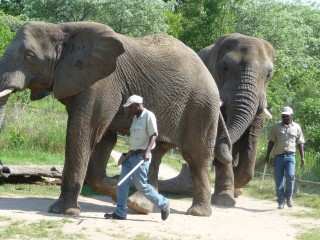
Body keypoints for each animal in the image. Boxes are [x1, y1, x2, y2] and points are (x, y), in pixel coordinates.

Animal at [0, 21, 222, 216]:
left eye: (29, 57)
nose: (5, 169)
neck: (59, 28)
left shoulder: (103, 83)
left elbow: (83, 131)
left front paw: (63, 211)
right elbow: (104, 140)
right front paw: (119, 188)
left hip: (201, 107)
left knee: (196, 156)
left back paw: (197, 213)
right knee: (156, 152)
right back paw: (141, 206)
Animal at [158, 32, 276, 207]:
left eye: (269, 75)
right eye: (225, 67)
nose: (214, 162)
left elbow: (251, 139)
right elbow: (220, 130)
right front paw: (224, 200)